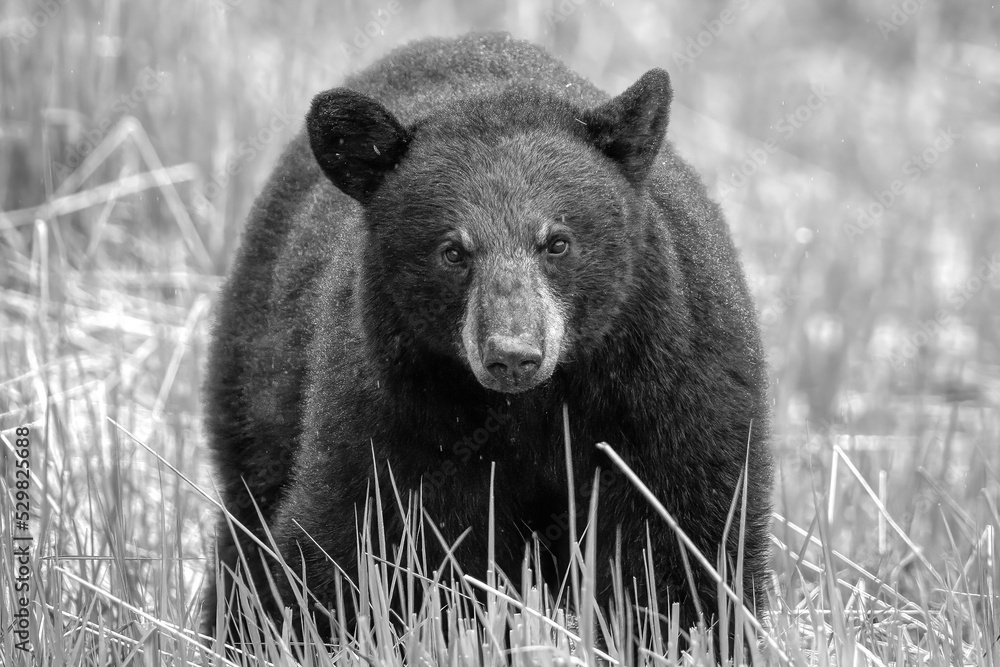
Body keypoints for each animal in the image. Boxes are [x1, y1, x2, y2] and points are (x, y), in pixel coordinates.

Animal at [203, 31, 776, 652]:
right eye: (452, 250)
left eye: (557, 241)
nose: (513, 354)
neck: (533, 409)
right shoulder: (390, 416)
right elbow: (347, 545)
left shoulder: (675, 389)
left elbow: (683, 548)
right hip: (256, 384)